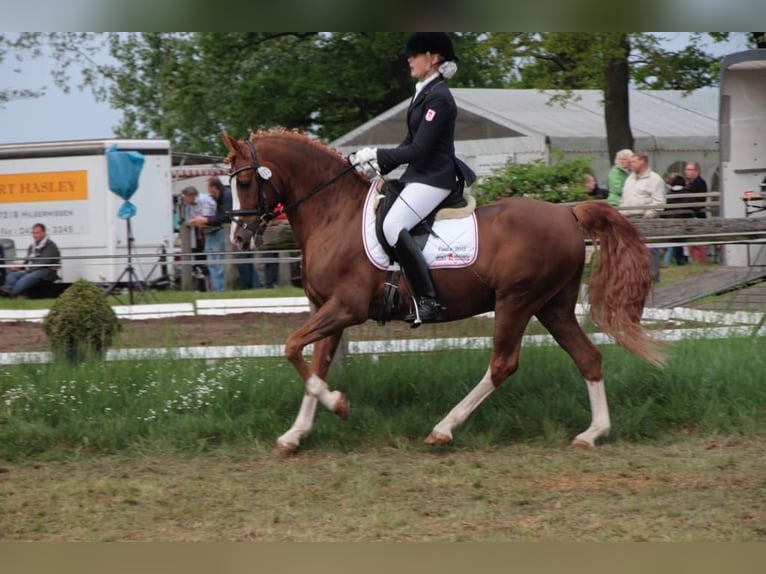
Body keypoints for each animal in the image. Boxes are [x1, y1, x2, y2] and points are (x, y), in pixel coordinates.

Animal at [222, 129, 663, 455]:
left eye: (244, 181)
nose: (239, 238)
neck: (334, 214)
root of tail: (567, 212)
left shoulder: (346, 307)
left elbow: (292, 347)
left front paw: (338, 404)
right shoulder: (326, 309)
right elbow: (315, 364)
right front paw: (295, 435)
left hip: (517, 301)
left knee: (503, 364)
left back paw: (443, 429)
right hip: (552, 306)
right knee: (587, 357)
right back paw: (592, 433)